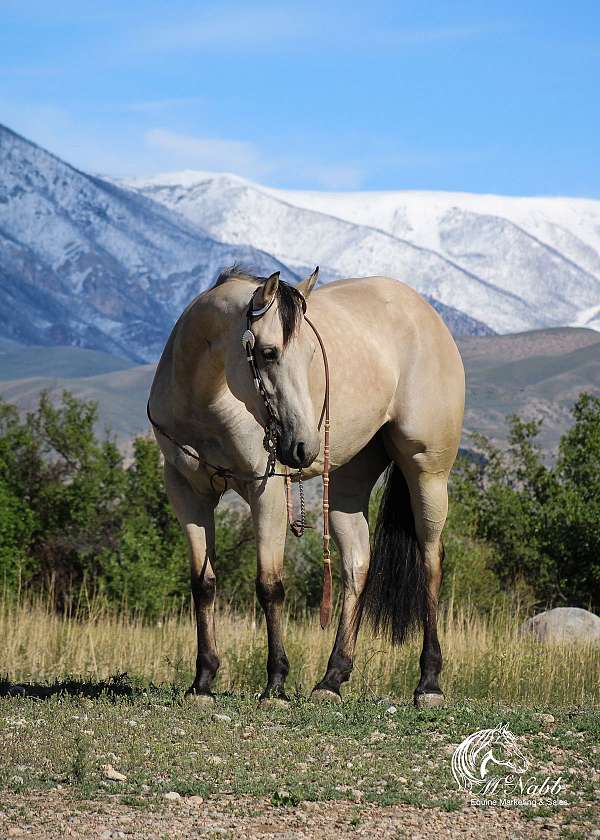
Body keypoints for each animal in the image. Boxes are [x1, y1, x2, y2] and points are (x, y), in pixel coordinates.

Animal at [149, 270, 464, 708]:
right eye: (267, 353)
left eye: (312, 355)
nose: (303, 446)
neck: (206, 403)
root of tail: (426, 313)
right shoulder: (187, 493)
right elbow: (203, 583)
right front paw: (203, 682)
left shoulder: (265, 491)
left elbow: (269, 585)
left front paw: (276, 685)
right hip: (347, 486)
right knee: (356, 568)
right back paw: (332, 679)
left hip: (428, 473)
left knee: (430, 562)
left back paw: (429, 682)